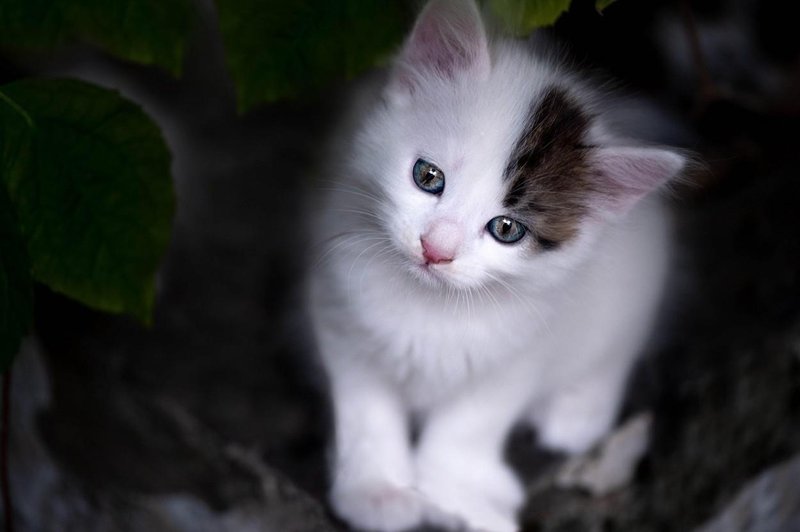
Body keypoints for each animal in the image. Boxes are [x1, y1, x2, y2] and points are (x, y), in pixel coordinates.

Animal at [306, 0, 688, 528]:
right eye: (428, 176)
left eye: (507, 229)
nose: (436, 248)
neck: (430, 308)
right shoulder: (338, 315)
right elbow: (367, 413)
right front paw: (377, 492)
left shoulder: (522, 351)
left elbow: (467, 424)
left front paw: (456, 495)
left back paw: (577, 415)